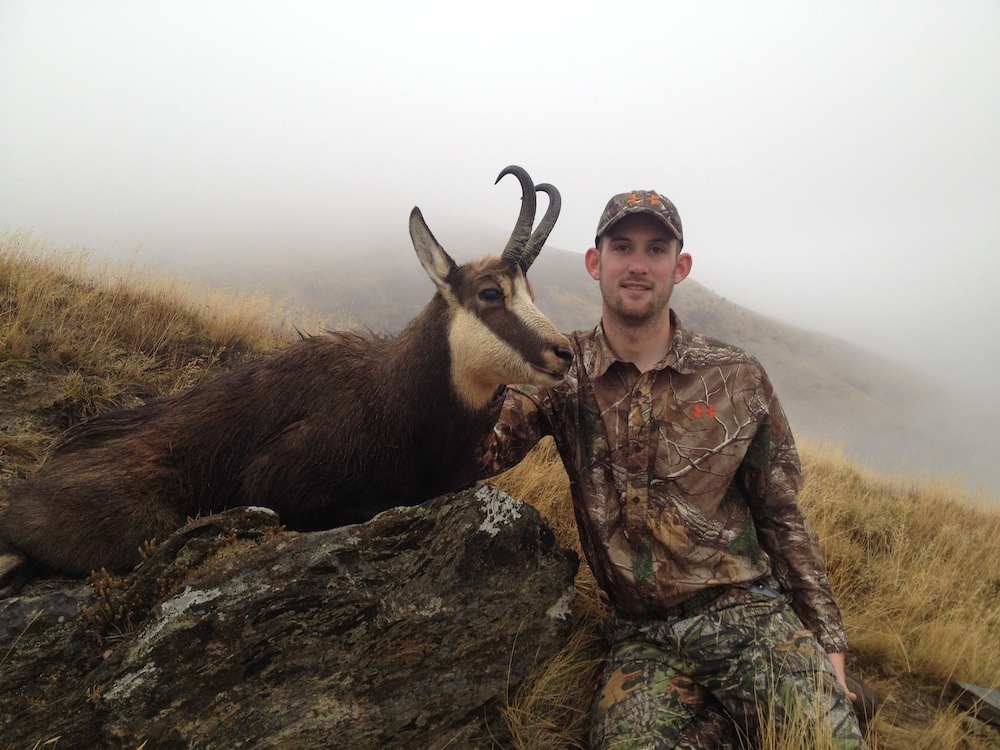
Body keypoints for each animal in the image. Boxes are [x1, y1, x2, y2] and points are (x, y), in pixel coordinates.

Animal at [0, 165, 573, 596]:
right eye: (490, 293)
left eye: (532, 293)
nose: (564, 352)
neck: (399, 398)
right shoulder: (276, 483)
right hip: (143, 523)